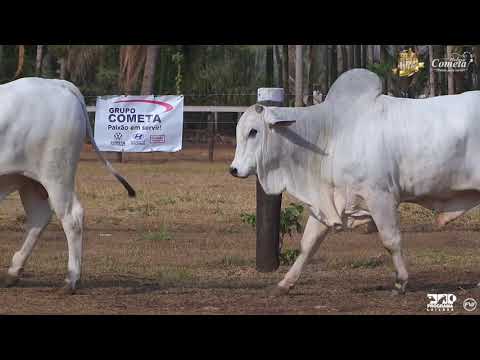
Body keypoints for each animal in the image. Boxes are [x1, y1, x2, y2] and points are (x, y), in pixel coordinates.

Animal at [0, 77, 135, 294]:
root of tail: (57, 83)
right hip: (29, 181)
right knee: (39, 217)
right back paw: (13, 272)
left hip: (56, 176)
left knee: (72, 218)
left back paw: (70, 280)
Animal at [231, 68, 480, 296]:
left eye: (253, 131)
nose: (233, 169)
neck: (330, 133)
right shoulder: (327, 199)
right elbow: (308, 244)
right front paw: (284, 284)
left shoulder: (381, 196)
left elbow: (391, 240)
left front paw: (400, 283)